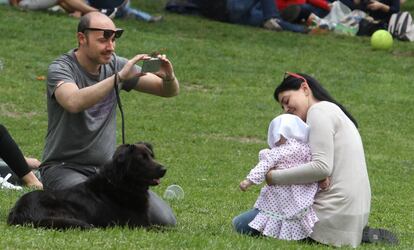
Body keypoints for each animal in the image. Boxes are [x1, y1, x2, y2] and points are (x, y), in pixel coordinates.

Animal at [6, 143, 165, 229]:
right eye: (142, 159)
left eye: (151, 156)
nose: (164, 169)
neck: (120, 184)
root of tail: (19, 211)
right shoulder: (138, 224)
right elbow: (164, 229)